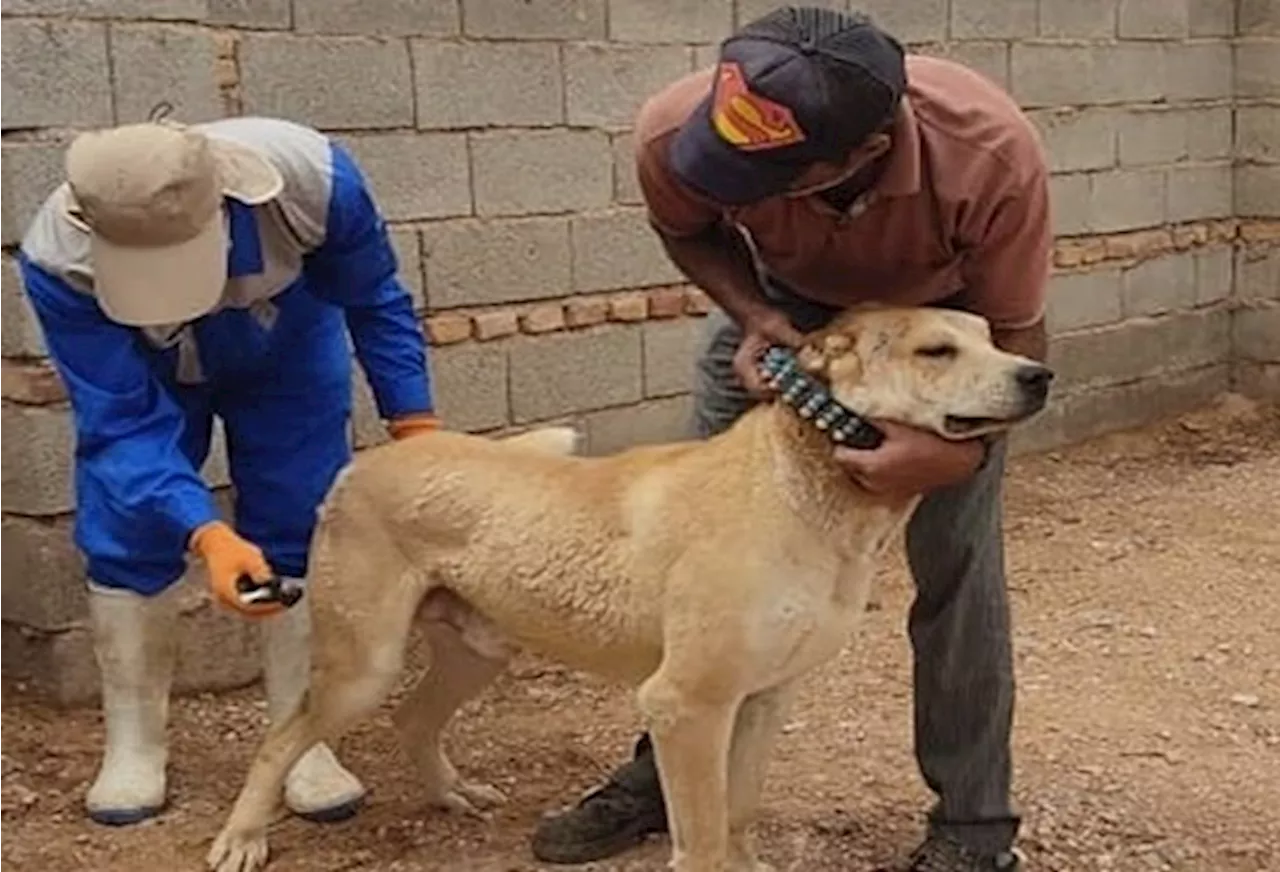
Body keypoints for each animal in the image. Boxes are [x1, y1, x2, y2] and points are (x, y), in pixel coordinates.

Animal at [207, 304, 1049, 870]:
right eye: (935, 349)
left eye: (992, 335)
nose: (1037, 374)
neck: (806, 487)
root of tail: (360, 463)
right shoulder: (686, 704)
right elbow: (702, 838)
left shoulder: (763, 699)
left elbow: (738, 813)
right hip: (364, 664)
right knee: (280, 738)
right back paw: (241, 839)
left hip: (478, 650)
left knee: (413, 718)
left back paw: (453, 794)